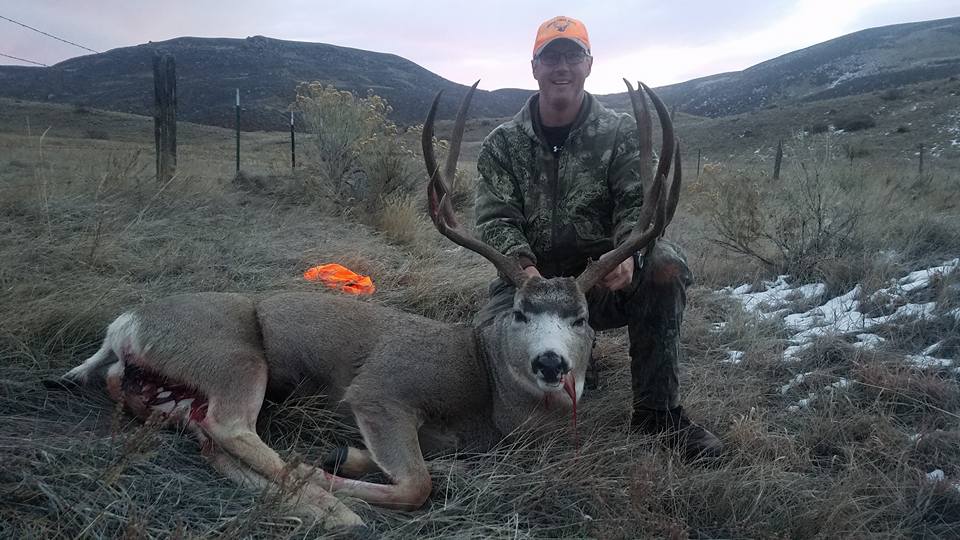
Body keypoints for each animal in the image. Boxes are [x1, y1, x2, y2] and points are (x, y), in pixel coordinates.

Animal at [60, 79, 680, 528]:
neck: (485, 386)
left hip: (167, 390)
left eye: (580, 318)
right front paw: (332, 467)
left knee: (198, 429)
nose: (550, 363)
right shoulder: (381, 391)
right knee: (230, 425)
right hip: (233, 356)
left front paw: (344, 457)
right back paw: (327, 499)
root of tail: (125, 322)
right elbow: (417, 483)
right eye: (522, 314)